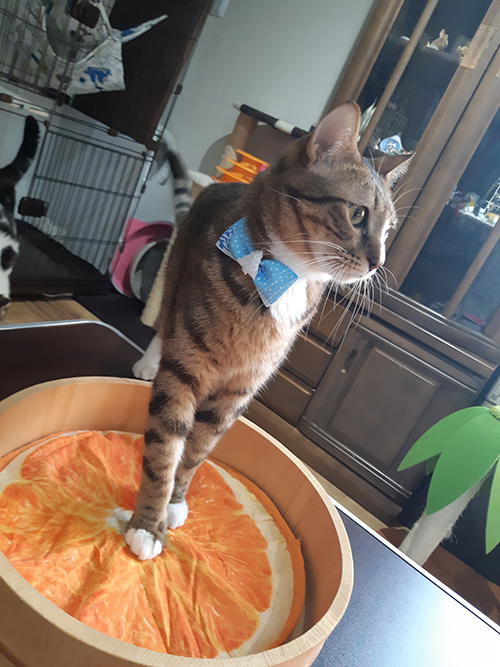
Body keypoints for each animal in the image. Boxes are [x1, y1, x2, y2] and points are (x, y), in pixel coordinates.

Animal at [126, 102, 410, 560]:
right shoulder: (186, 369)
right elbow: (164, 450)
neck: (286, 276)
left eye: (389, 231)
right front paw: (147, 526)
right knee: (163, 319)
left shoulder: (239, 390)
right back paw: (149, 360)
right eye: (357, 214)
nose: (379, 262)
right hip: (174, 281)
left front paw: (174, 502)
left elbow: (197, 451)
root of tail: (218, 186)